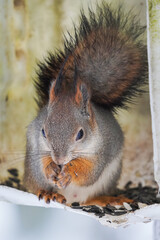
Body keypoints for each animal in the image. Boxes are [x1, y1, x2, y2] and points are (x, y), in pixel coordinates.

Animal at [23, 3, 148, 206]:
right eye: (43, 132)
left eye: (80, 134)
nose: (59, 159)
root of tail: (71, 200)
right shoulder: (36, 143)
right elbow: (43, 160)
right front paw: (51, 168)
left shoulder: (102, 149)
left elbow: (87, 171)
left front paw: (69, 172)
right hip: (32, 173)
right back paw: (49, 192)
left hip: (107, 179)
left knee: (91, 197)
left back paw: (106, 199)